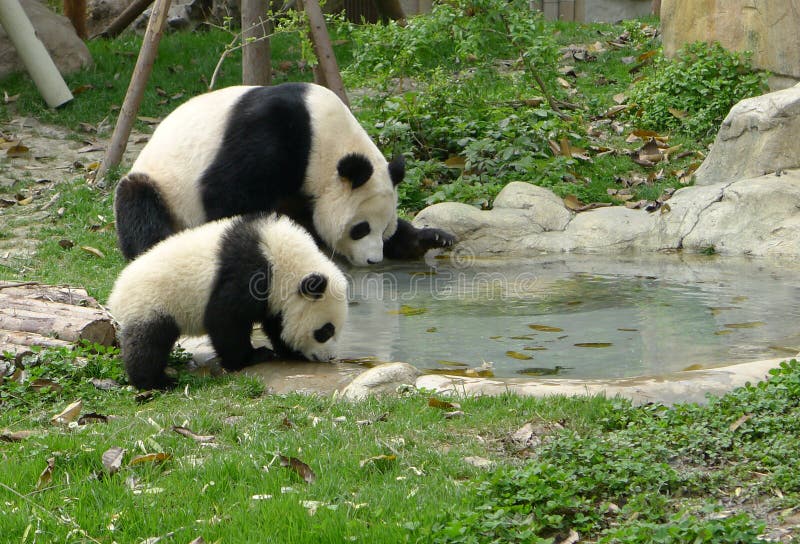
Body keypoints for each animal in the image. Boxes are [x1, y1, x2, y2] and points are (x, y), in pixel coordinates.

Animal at [106, 214, 346, 392]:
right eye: (325, 331)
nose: (330, 357)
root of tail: (116, 294)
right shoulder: (249, 274)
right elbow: (226, 320)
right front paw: (252, 357)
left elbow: (276, 323)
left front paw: (288, 350)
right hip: (153, 303)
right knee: (148, 344)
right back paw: (156, 381)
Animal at [113, 81, 454, 266]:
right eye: (360, 229)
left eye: (384, 231)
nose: (373, 260)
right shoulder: (270, 132)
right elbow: (226, 192)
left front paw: (431, 238)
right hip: (163, 186)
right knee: (139, 206)